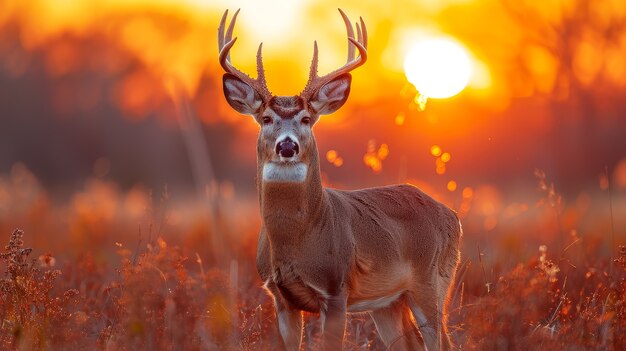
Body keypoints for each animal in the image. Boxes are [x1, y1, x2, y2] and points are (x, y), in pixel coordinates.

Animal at [217, 8, 460, 351]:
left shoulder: (335, 290)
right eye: (266, 118)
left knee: (442, 341)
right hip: (389, 301)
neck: (296, 242)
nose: (287, 146)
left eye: (306, 119)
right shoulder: (281, 298)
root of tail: (452, 215)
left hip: (433, 280)